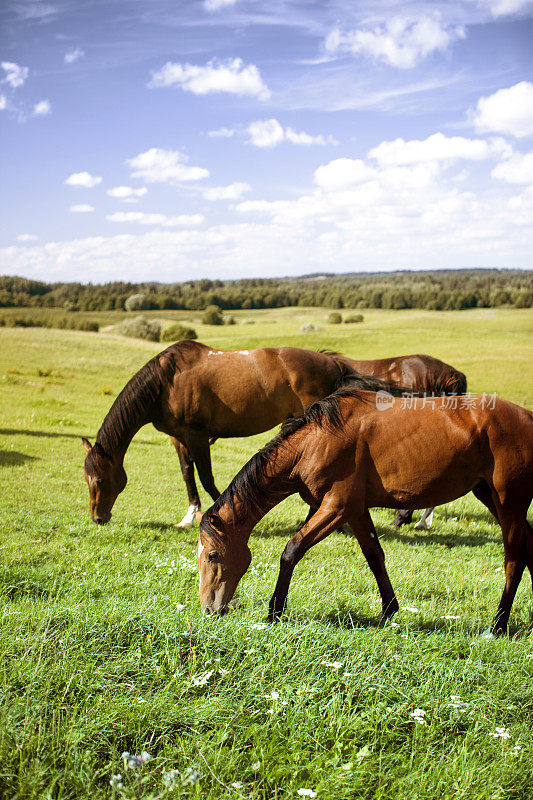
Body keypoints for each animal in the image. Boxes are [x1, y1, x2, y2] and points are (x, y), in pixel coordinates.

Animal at [81, 340, 464, 528]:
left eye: (98, 480)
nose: (98, 518)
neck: (167, 379)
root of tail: (334, 363)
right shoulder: (178, 438)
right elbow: (188, 475)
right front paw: (189, 516)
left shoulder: (197, 436)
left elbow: (206, 478)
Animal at [197, 376, 532, 636]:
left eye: (212, 554)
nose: (209, 610)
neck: (316, 440)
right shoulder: (355, 511)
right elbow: (374, 556)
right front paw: (388, 611)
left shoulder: (336, 508)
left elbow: (292, 550)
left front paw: (275, 611)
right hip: (490, 497)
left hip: (510, 504)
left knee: (514, 561)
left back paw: (497, 627)